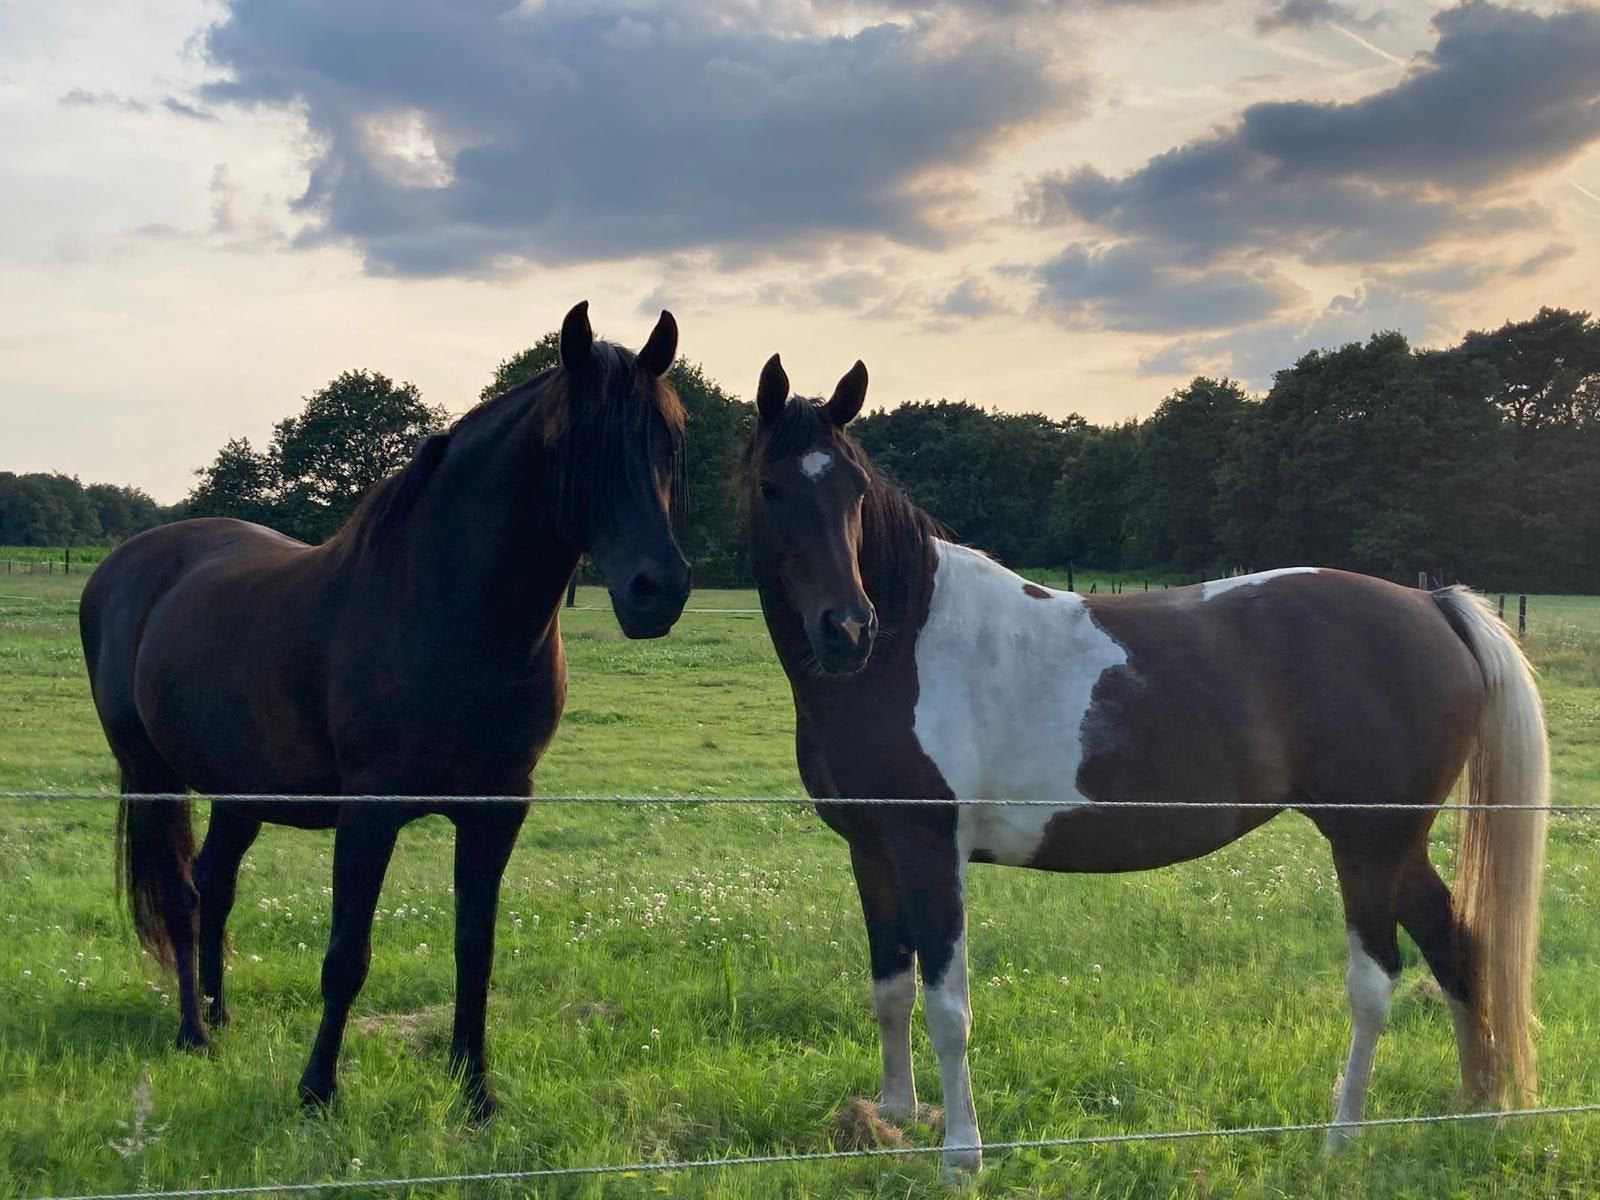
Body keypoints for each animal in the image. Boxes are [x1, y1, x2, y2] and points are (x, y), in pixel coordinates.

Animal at [79, 302, 691, 1118]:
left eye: (668, 442)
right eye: (579, 442)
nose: (660, 590)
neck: (449, 611)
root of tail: (123, 568)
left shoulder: (498, 810)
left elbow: (475, 947)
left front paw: (475, 1091)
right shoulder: (369, 811)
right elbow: (347, 953)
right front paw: (316, 1091)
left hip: (243, 791)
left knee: (214, 885)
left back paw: (219, 1012)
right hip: (152, 775)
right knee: (180, 897)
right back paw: (193, 1032)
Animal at [739, 353, 1550, 1173]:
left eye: (854, 488)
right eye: (771, 487)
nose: (847, 629)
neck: (907, 644)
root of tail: (1432, 605)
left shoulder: (930, 850)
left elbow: (946, 1007)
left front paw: (961, 1153)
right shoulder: (873, 854)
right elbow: (890, 989)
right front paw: (896, 1115)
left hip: (1366, 844)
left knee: (1376, 982)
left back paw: (1342, 1136)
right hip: (1396, 845)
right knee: (1456, 946)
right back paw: (1480, 1112)